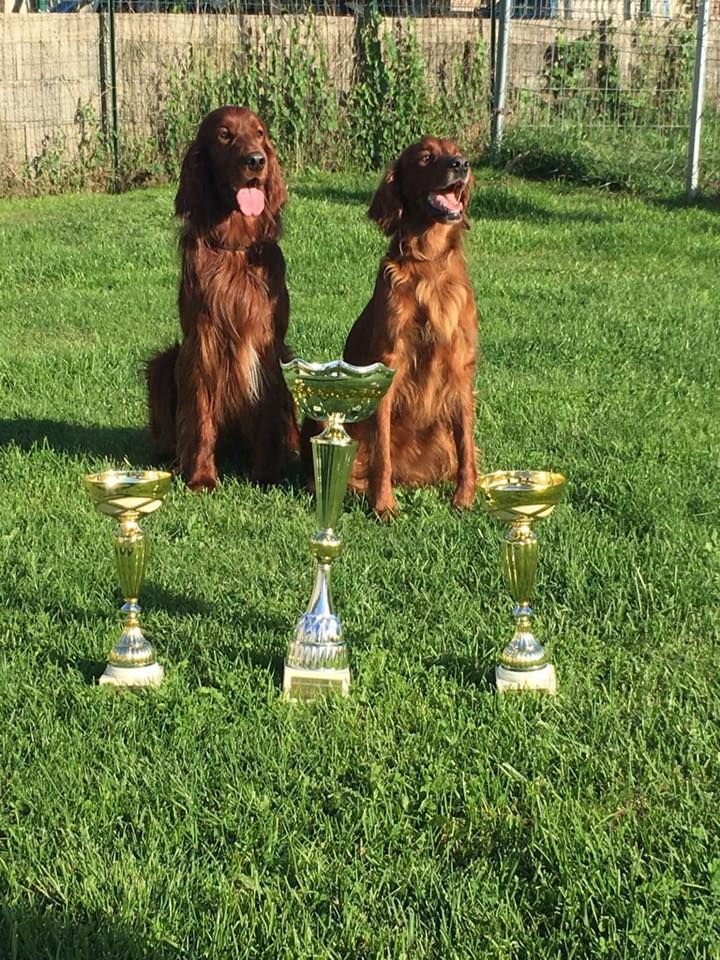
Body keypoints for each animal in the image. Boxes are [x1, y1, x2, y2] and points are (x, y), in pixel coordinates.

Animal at [148, 109, 296, 492]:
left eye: (259, 134)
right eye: (225, 135)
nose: (256, 160)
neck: (234, 248)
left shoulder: (268, 346)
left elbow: (267, 410)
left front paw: (266, 474)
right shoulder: (202, 344)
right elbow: (200, 415)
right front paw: (201, 477)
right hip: (163, 363)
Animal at [344, 137, 478, 516]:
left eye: (457, 151)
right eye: (426, 157)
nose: (461, 165)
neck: (428, 264)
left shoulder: (460, 368)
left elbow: (466, 444)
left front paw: (465, 498)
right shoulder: (389, 364)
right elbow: (382, 452)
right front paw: (384, 505)